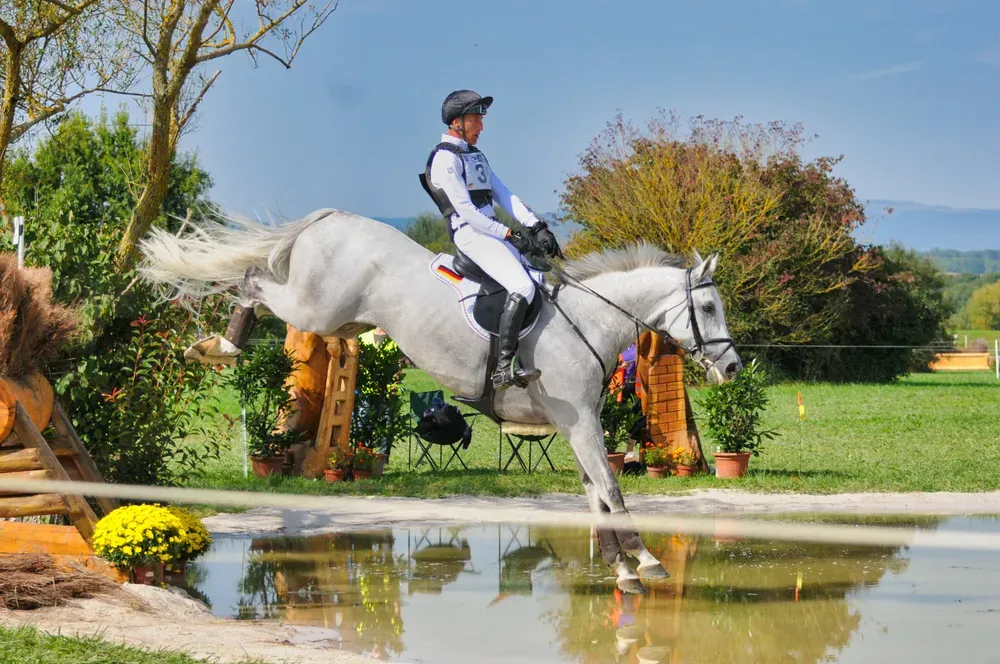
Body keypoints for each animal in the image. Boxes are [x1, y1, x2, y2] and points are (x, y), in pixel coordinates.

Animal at [145, 208, 748, 592]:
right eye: (709, 308)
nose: (733, 367)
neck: (590, 320)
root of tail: (331, 217)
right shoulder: (580, 425)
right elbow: (614, 492)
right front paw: (647, 562)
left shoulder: (579, 427)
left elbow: (597, 496)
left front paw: (622, 570)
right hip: (316, 307)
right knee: (251, 280)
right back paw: (219, 345)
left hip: (340, 320)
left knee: (264, 287)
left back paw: (217, 344)